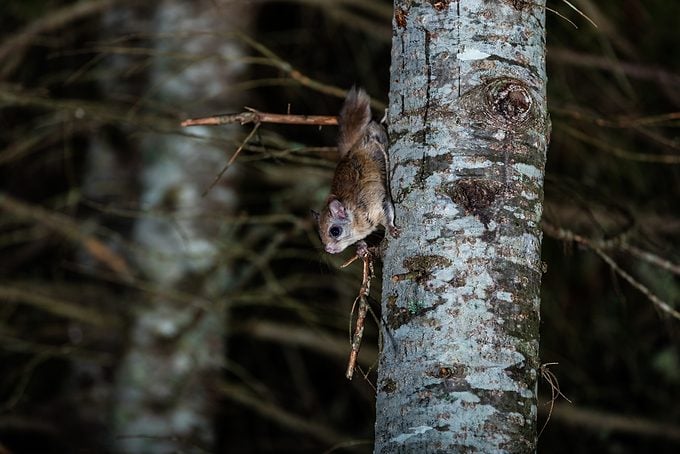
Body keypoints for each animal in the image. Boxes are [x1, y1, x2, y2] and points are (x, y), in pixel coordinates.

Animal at [313, 87, 400, 254]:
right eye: (320, 235)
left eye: (335, 231)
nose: (328, 250)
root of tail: (354, 146)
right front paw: (361, 248)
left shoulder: (377, 202)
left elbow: (388, 213)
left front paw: (391, 228)